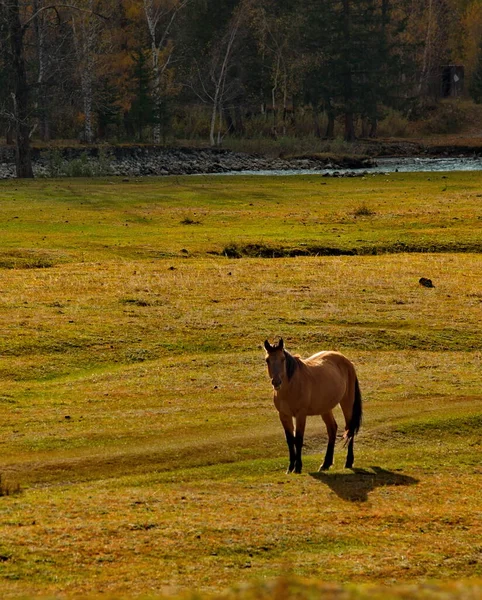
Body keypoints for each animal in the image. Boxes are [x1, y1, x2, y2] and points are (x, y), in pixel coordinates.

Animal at [264, 338, 362, 474]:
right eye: (267, 360)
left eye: (283, 359)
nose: (276, 382)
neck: (291, 386)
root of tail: (346, 360)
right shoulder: (284, 415)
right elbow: (290, 440)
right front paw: (290, 468)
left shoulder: (301, 415)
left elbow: (298, 439)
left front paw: (298, 468)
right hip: (325, 409)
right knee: (332, 429)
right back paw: (325, 464)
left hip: (347, 402)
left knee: (350, 429)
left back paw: (348, 462)